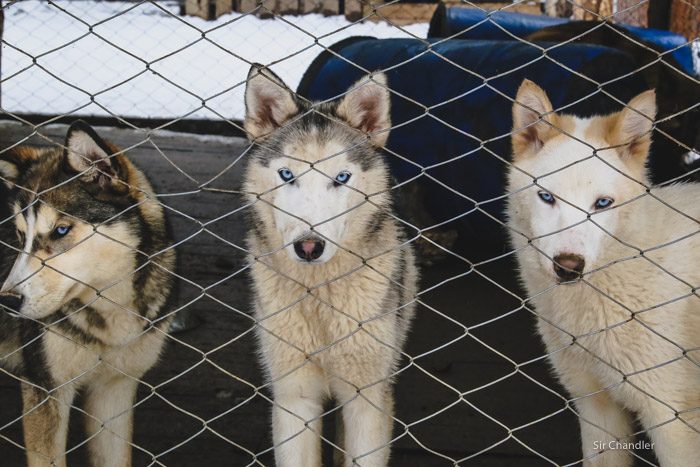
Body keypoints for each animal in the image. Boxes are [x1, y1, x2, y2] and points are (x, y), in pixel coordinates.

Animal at [242, 64, 419, 467]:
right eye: (287, 175)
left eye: (341, 178)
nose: (309, 246)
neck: (318, 295)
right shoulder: (293, 398)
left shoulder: (367, 399)